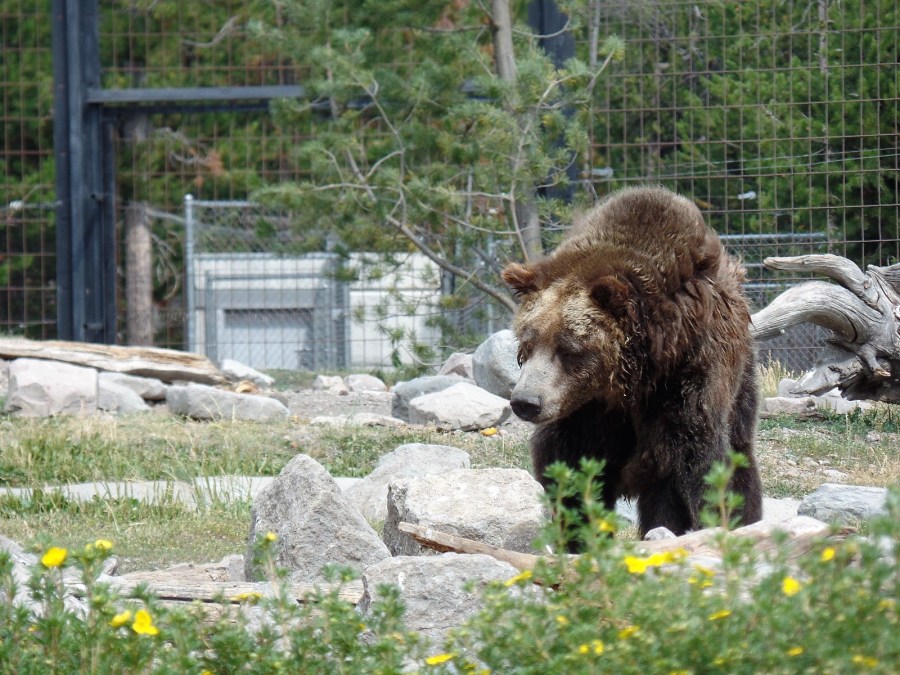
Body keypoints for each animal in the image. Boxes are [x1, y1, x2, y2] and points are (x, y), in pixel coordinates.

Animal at [501, 185, 763, 539]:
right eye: (527, 343)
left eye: (568, 347)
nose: (525, 402)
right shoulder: (584, 412)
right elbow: (570, 466)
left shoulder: (687, 371)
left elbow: (694, 461)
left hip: (740, 376)